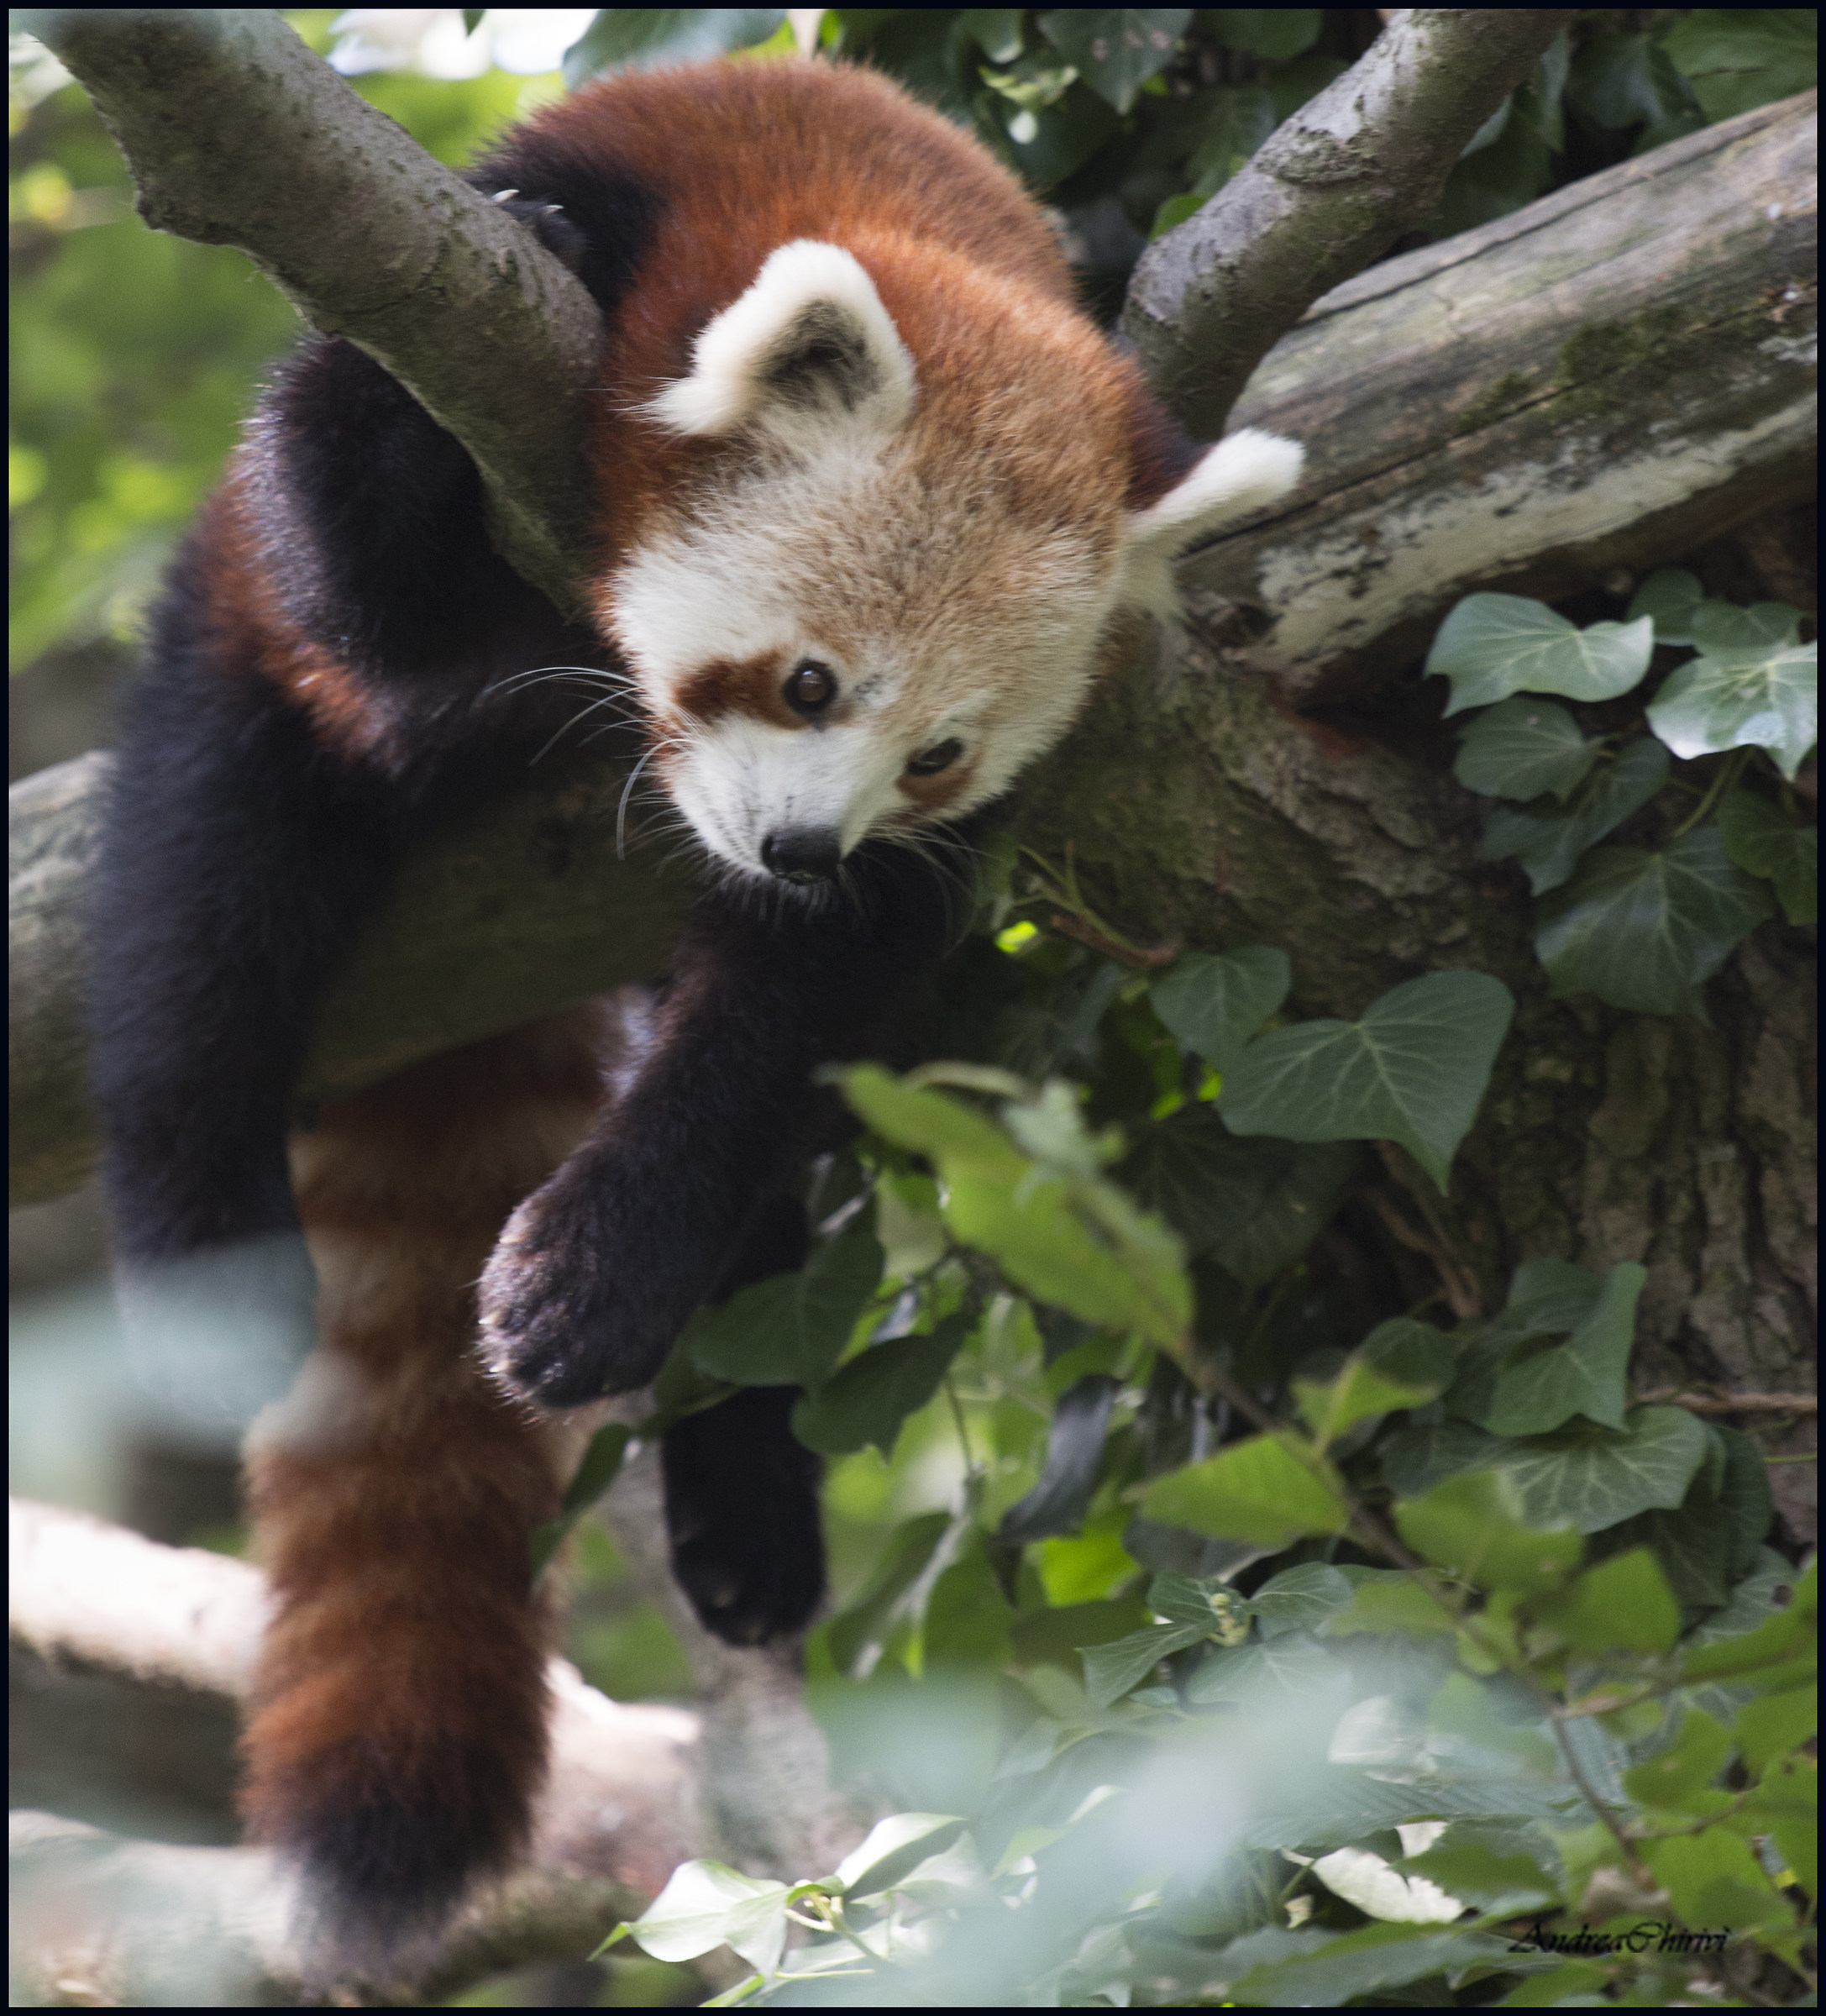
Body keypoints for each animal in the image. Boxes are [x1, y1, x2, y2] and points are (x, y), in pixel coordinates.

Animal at [86, 54, 1301, 1967]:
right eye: (805, 680)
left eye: (934, 752)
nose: (799, 843)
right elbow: (357, 535)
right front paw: (491, 295)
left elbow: (779, 1024)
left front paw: (591, 1272)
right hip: (241, 694)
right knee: (202, 909)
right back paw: (212, 1259)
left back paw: (740, 1497)